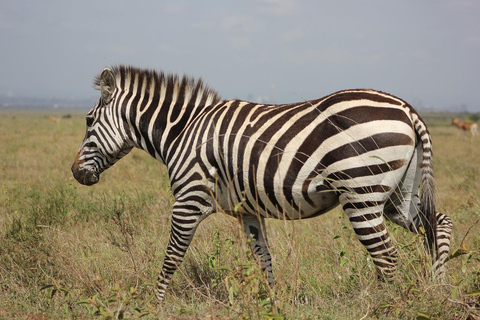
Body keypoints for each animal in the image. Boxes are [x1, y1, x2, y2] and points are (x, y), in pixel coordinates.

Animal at [69, 65, 452, 302]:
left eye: (88, 121)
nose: (75, 173)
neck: (183, 132)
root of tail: (407, 109)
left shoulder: (189, 198)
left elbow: (173, 255)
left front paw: (155, 302)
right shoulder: (248, 211)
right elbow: (263, 258)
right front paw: (274, 301)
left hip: (361, 194)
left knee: (387, 256)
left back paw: (383, 303)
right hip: (397, 195)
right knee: (438, 224)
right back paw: (439, 288)